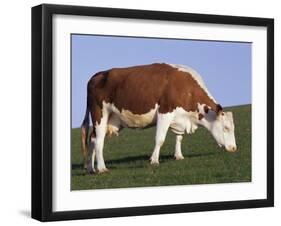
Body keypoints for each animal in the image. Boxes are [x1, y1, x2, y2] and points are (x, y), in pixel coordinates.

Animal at [81, 63, 236, 173]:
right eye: (226, 128)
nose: (234, 148)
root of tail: (98, 75)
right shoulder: (164, 113)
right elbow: (160, 139)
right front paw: (154, 160)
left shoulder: (179, 118)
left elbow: (179, 138)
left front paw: (179, 156)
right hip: (99, 115)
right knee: (99, 141)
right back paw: (102, 168)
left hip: (109, 119)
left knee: (93, 139)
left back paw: (91, 168)